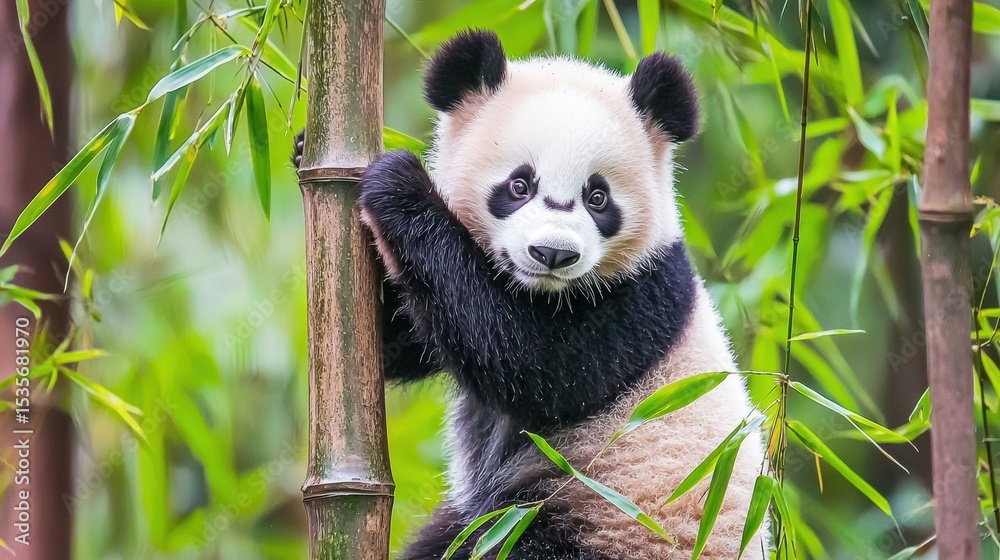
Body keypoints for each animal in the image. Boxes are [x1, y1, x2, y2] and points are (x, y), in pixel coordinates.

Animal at [297, 30, 767, 560]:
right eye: (519, 185)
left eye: (597, 197)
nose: (553, 253)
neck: (540, 291)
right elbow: (401, 342)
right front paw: (304, 151)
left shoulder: (640, 299)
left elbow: (532, 362)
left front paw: (399, 185)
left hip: (602, 521)